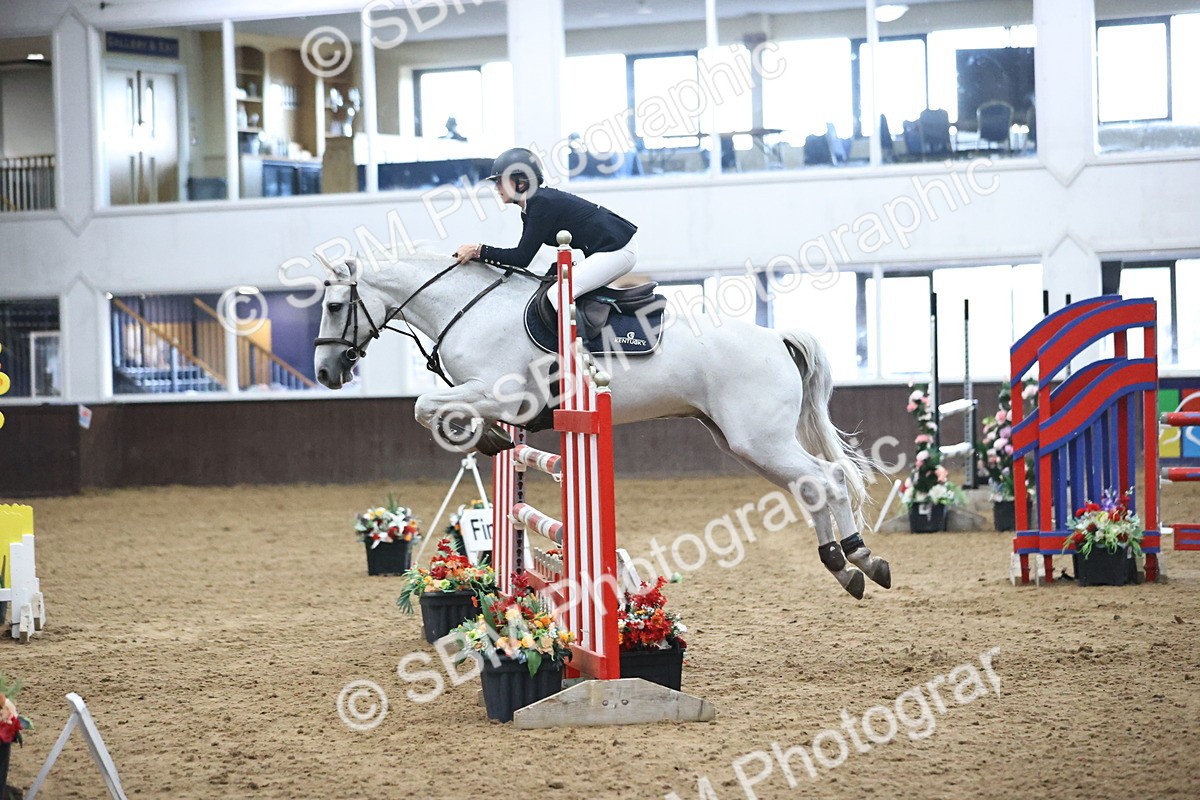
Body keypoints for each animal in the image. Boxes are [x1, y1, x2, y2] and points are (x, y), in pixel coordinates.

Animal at [312, 248, 891, 599]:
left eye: (336, 305)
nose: (324, 371)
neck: (468, 309)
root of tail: (776, 337)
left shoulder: (499, 393)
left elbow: (425, 406)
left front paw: (479, 435)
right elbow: (432, 408)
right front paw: (488, 438)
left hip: (759, 439)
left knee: (825, 478)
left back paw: (861, 558)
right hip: (742, 443)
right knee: (810, 484)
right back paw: (841, 565)